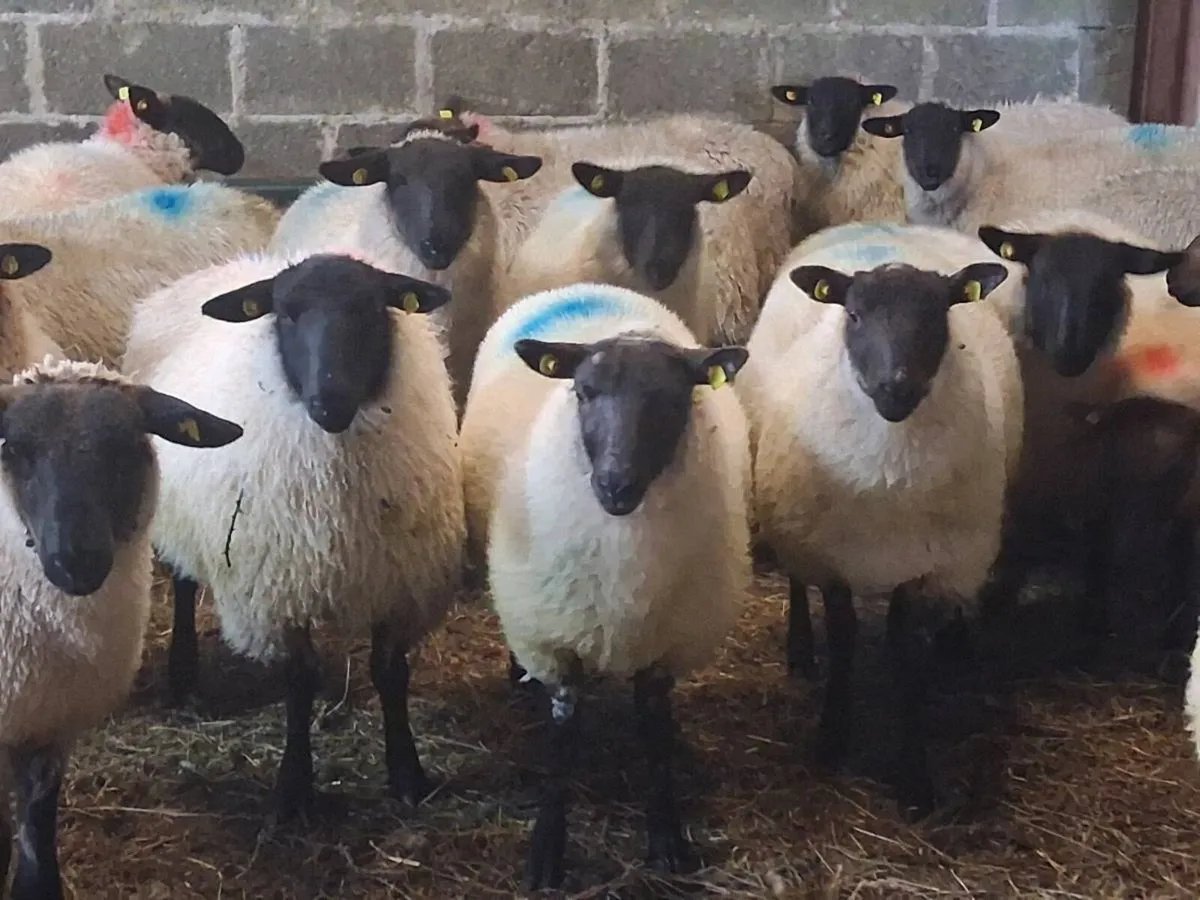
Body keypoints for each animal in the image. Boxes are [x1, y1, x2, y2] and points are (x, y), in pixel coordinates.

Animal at [121, 250, 466, 817]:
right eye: (285, 313)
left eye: (371, 308)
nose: (329, 400)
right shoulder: (281, 589)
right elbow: (299, 682)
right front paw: (293, 787)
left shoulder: (399, 584)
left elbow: (390, 673)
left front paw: (407, 774)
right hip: (177, 513)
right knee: (184, 583)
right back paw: (184, 677)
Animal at [458, 282, 752, 889]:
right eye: (584, 392)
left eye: (672, 400)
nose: (615, 484)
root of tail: (583, 287)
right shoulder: (554, 640)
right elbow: (562, 742)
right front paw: (547, 855)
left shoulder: (668, 644)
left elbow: (655, 733)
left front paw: (667, 840)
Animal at [745, 250, 1022, 820]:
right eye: (853, 315)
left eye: (939, 314)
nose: (897, 386)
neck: (888, 478)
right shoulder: (831, 557)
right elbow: (845, 636)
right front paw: (831, 739)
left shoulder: (924, 564)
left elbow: (903, 650)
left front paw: (914, 777)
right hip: (794, 523)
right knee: (797, 583)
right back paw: (801, 651)